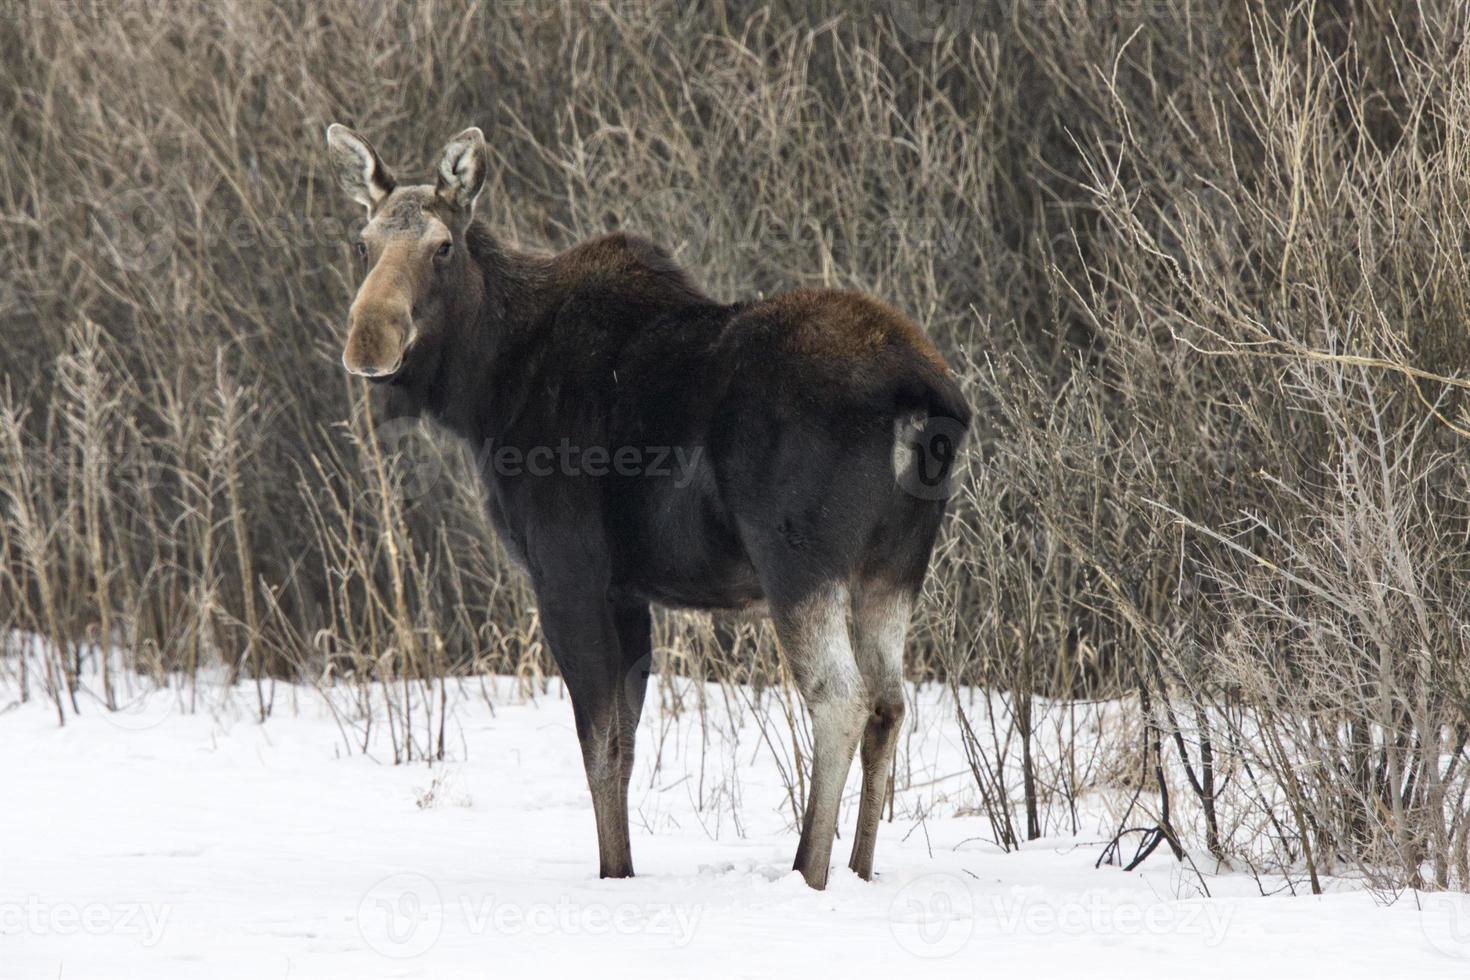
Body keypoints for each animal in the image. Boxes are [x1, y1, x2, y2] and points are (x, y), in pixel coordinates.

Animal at [327, 122, 970, 887]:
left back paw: (807, 871)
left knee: (840, 697)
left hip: (798, 558)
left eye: (443, 245)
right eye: (362, 243)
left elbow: (599, 742)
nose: (369, 339)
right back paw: (860, 870)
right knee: (891, 703)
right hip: (894, 567)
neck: (485, 389)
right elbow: (627, 744)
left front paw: (613, 874)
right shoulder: (631, 590)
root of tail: (925, 396)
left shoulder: (569, 573)